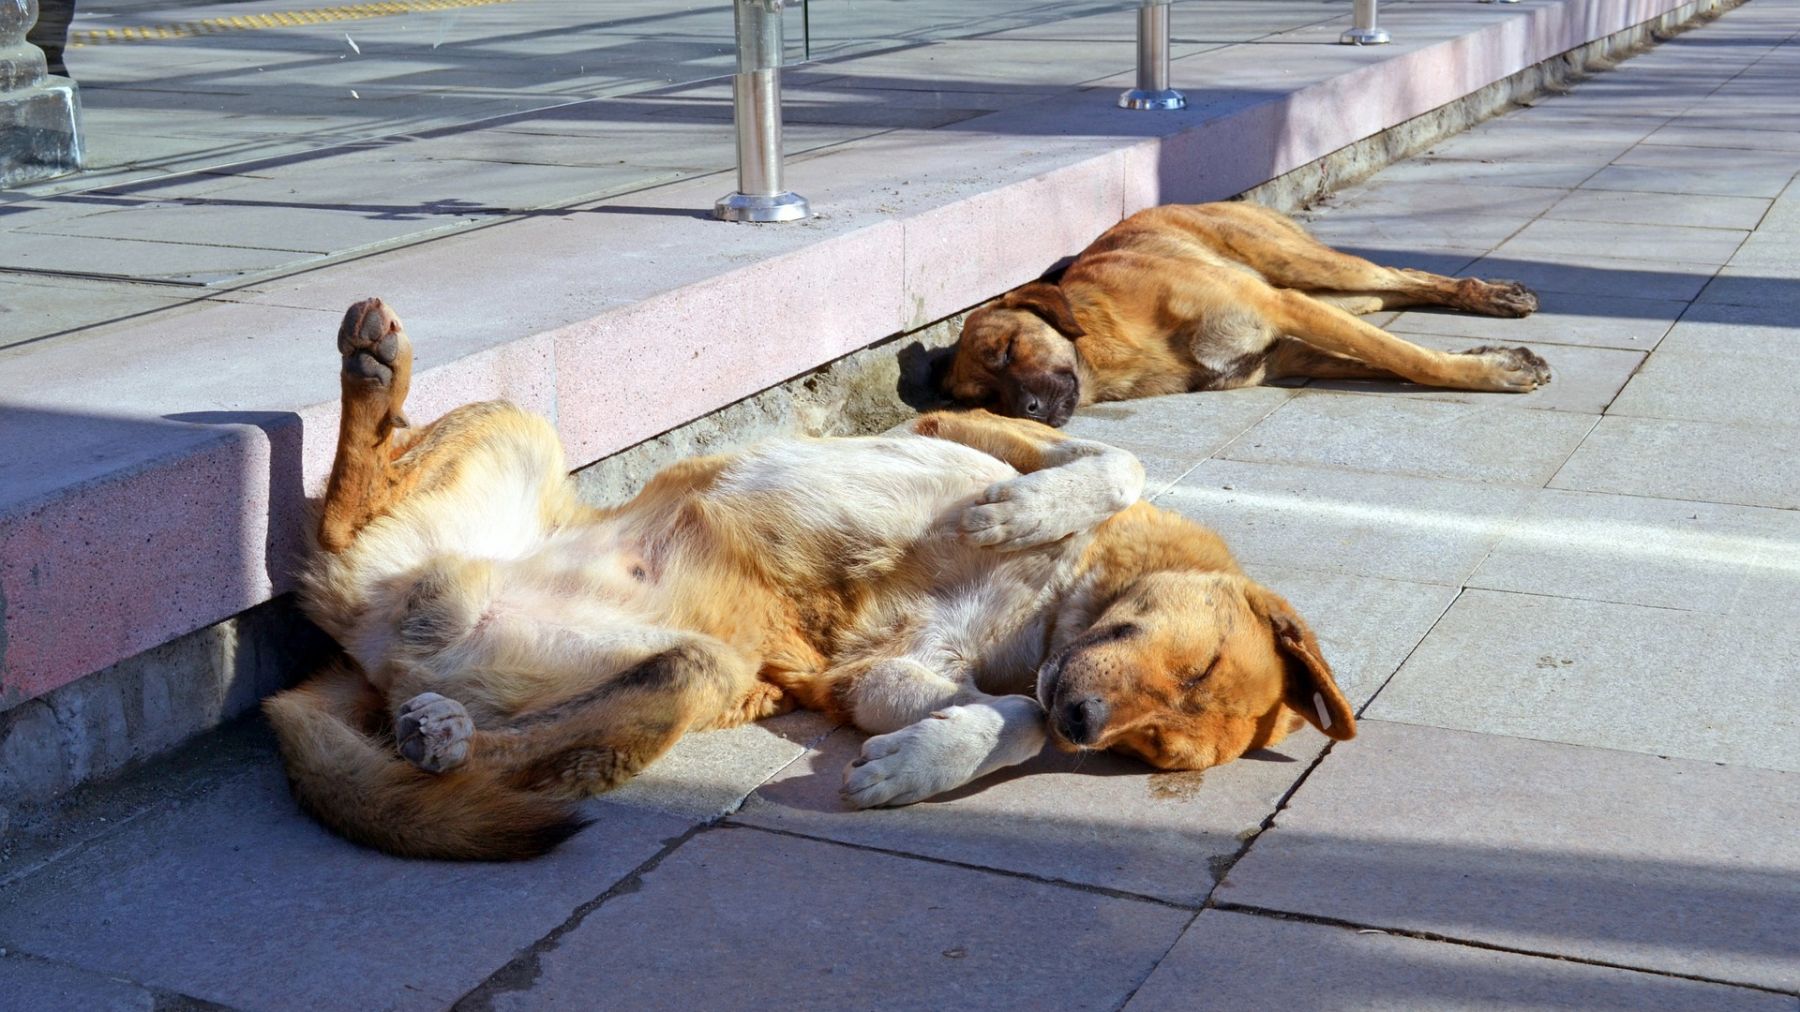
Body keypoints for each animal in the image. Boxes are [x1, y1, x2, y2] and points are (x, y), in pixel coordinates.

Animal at [950, 200, 1555, 424]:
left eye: (1009, 350)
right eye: (985, 399)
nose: (1027, 410)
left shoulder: (1279, 308)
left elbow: (1410, 359)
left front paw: (1489, 370)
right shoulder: (1286, 354)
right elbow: (1389, 360)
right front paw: (1495, 360)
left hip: (1300, 267)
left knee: (1402, 275)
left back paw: (1494, 295)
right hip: (1326, 292)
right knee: (1390, 293)